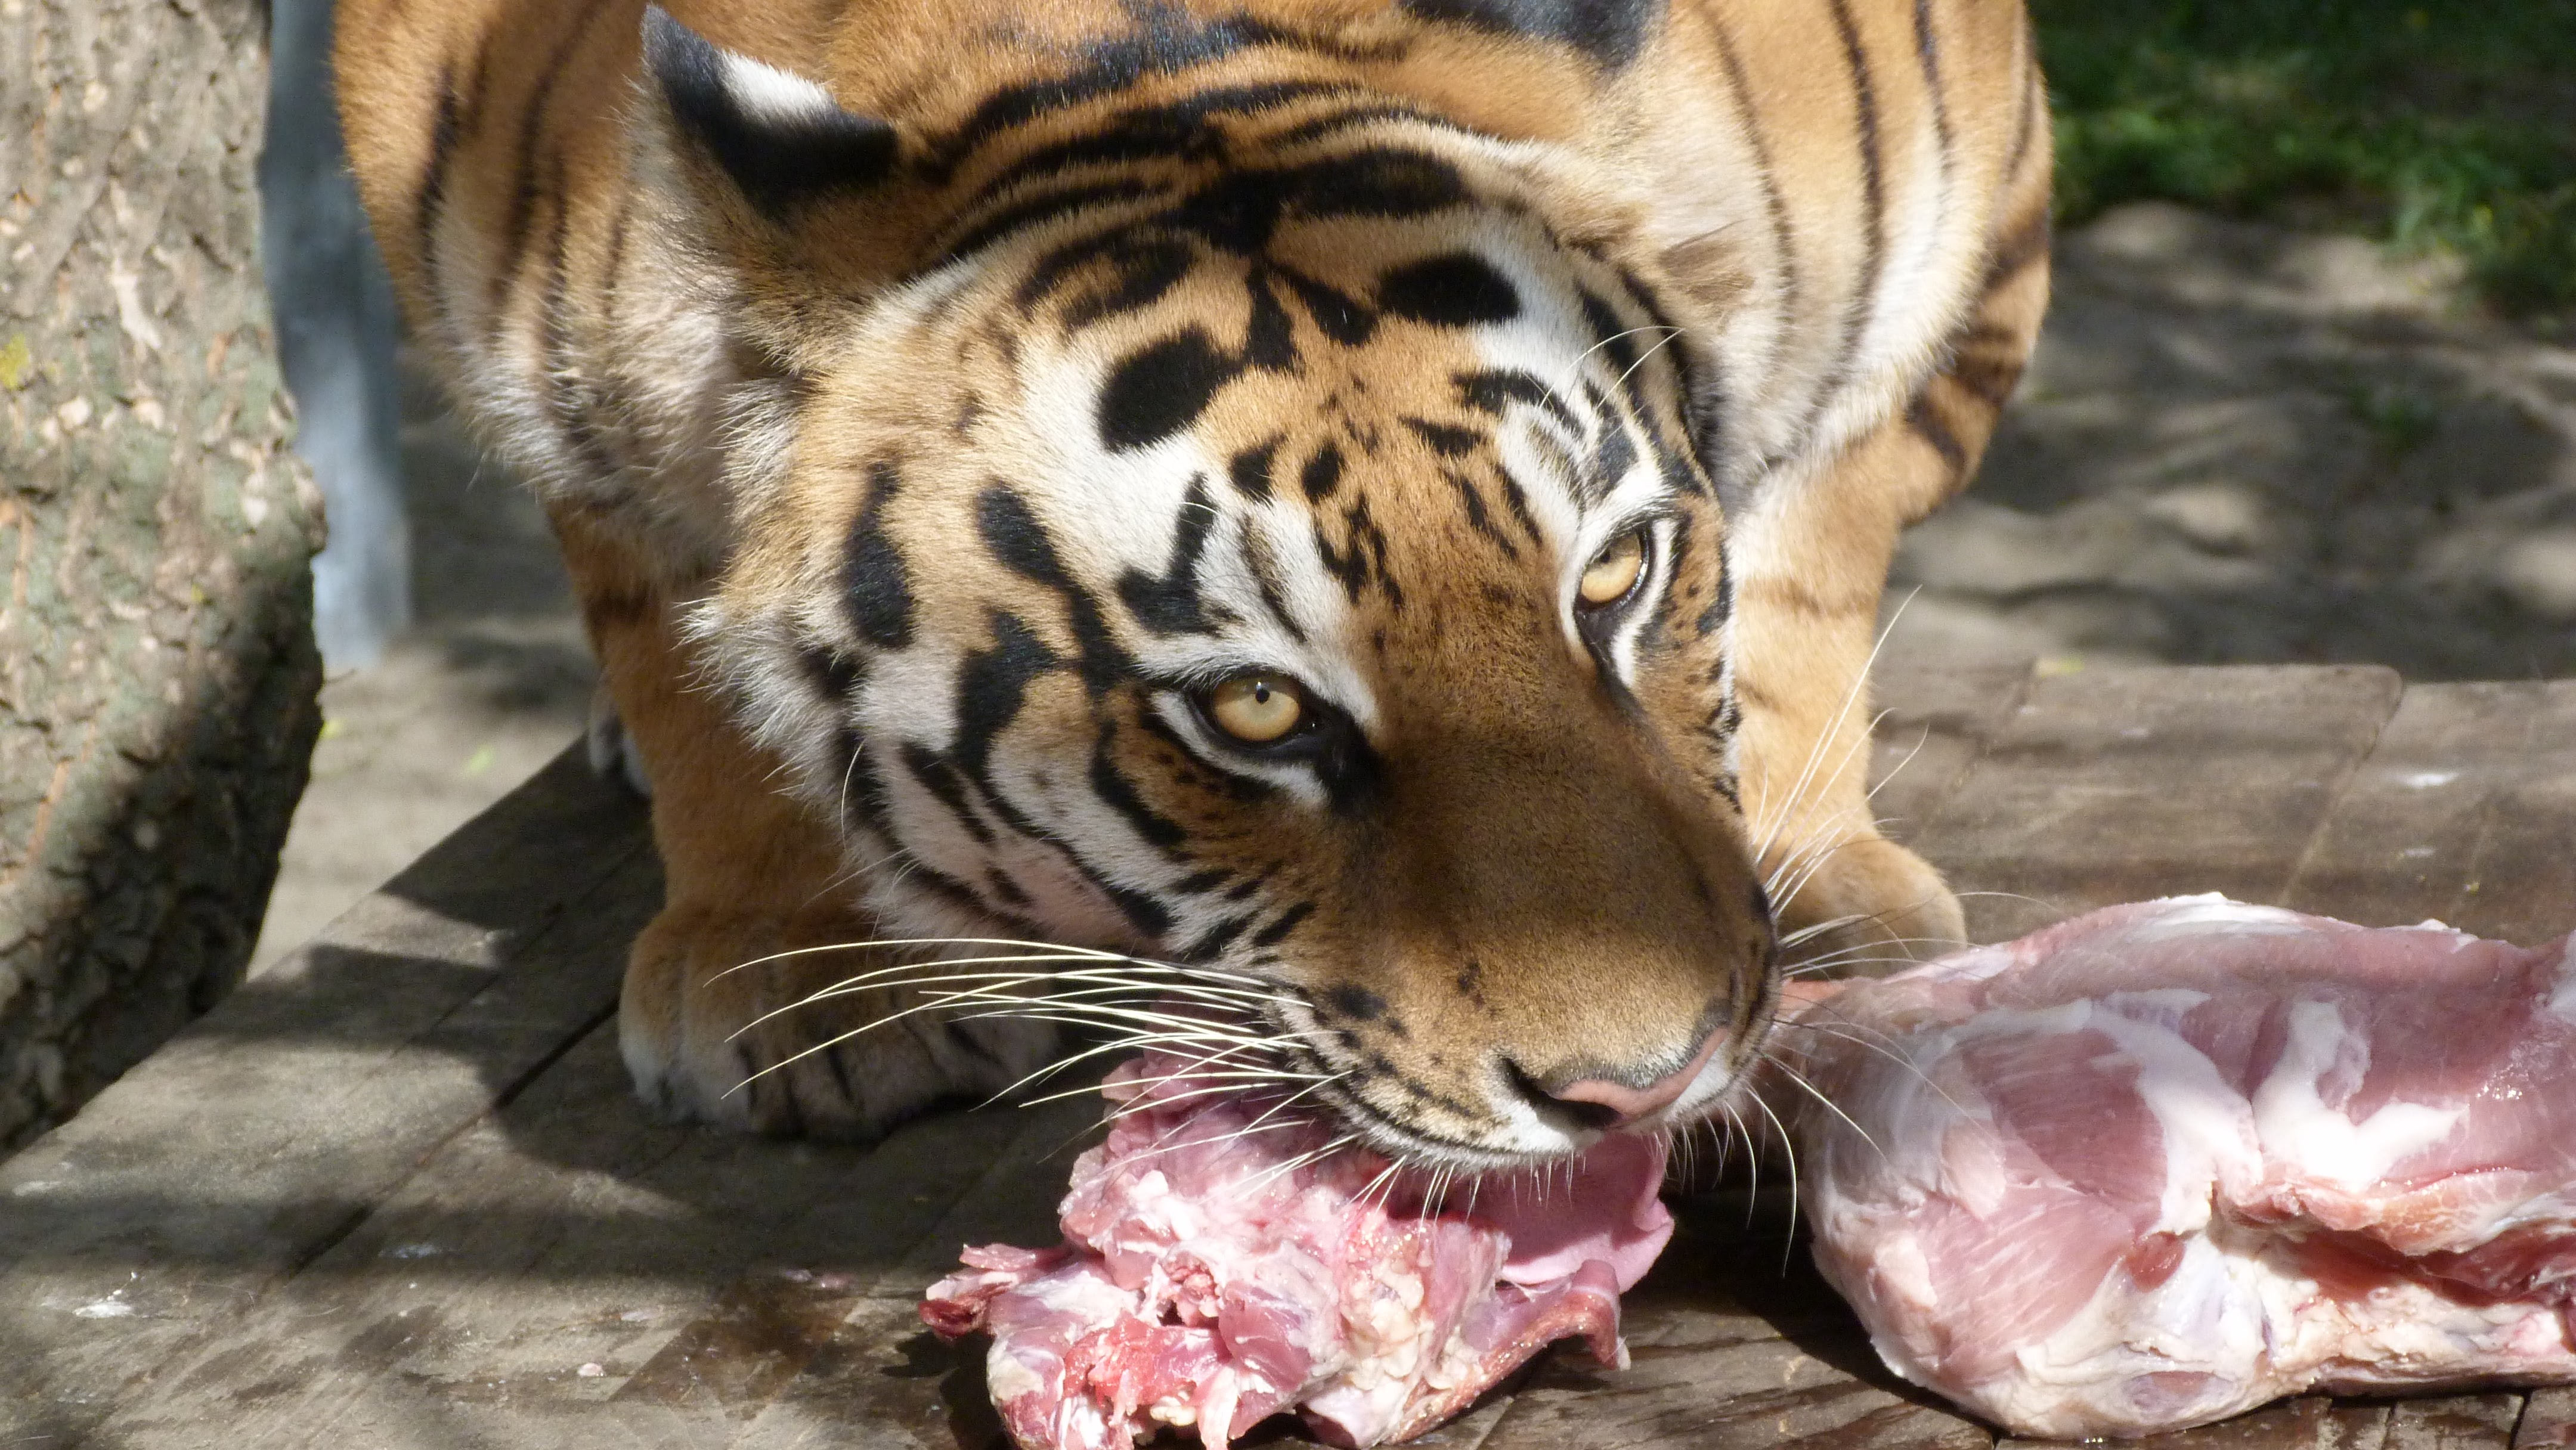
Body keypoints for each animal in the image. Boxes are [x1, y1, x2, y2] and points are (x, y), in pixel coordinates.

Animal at [333, 0, 2049, 1169]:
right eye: (1257, 710)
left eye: (1618, 573)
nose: (1646, 1086)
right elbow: (677, 638)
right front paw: (807, 976)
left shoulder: (1926, 225)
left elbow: (1810, 559)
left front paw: (1823, 875)